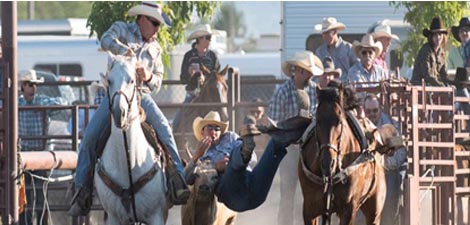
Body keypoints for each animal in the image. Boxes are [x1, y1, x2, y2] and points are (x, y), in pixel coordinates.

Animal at [302, 86, 386, 225]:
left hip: (374, 211)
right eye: (318, 121)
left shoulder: (348, 210)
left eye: (339, 122)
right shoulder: (309, 209)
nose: (327, 162)